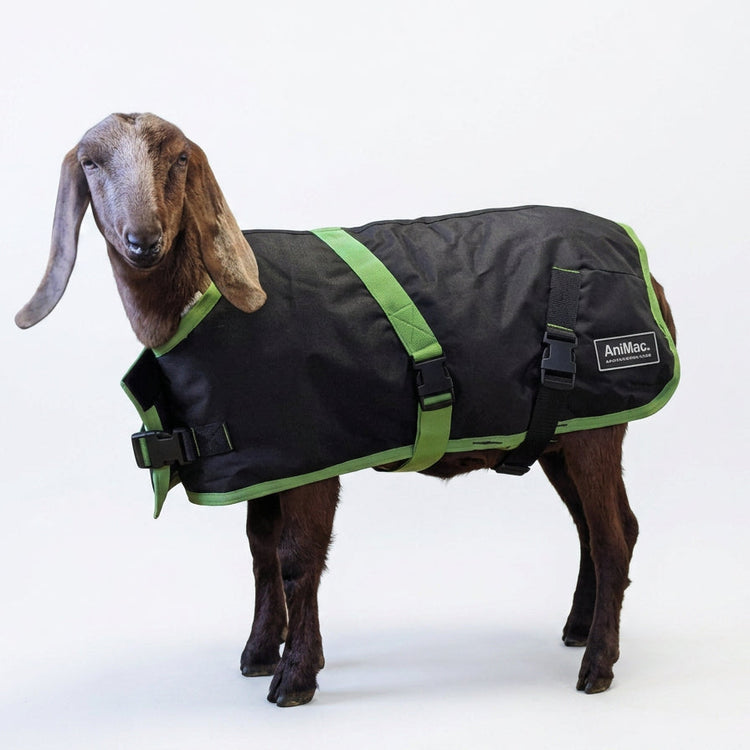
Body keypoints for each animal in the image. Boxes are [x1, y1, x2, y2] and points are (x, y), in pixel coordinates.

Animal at [16, 113, 678, 707]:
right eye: (91, 164)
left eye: (178, 160)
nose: (143, 240)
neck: (206, 299)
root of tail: (653, 283)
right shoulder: (266, 459)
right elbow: (259, 550)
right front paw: (259, 654)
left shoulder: (314, 457)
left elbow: (297, 559)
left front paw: (295, 680)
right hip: (564, 434)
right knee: (594, 529)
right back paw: (578, 630)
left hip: (598, 428)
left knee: (614, 535)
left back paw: (597, 666)